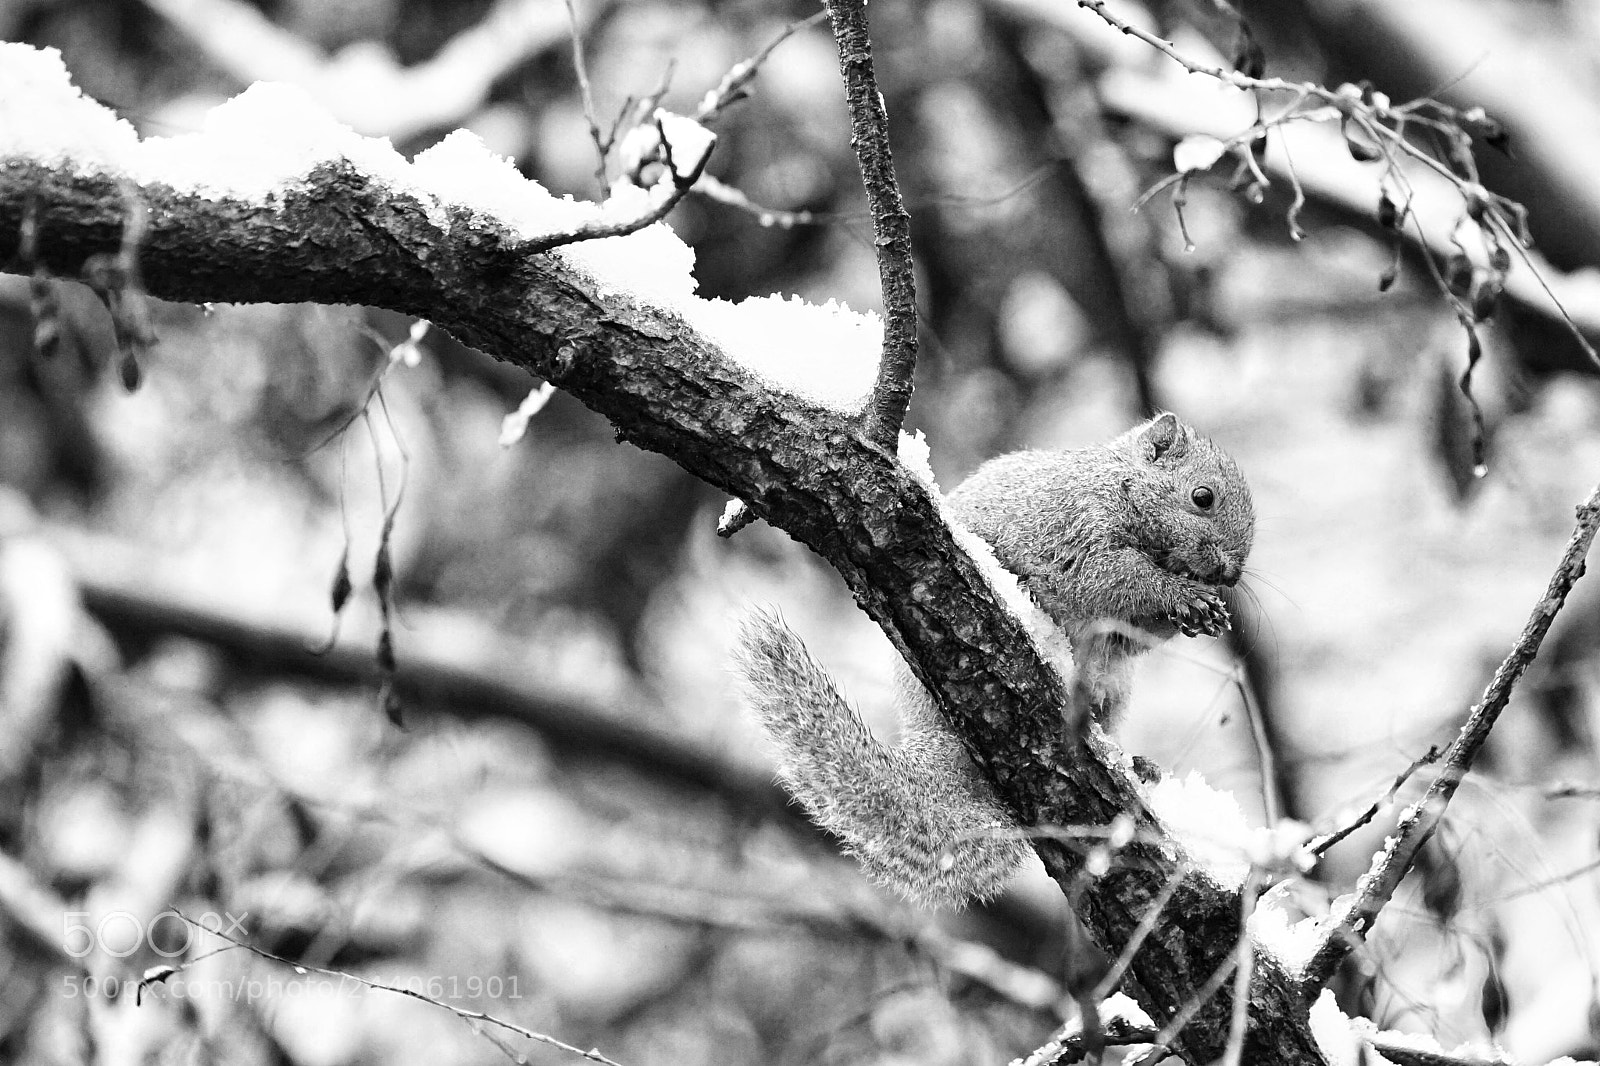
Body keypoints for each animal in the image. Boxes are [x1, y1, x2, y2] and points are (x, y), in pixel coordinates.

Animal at [734, 413, 1255, 908]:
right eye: (1202, 497)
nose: (1228, 573)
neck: (1116, 482)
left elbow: (1132, 633)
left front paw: (1200, 614)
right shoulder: (1077, 527)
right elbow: (1110, 579)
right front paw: (1186, 596)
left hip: (1117, 688)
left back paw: (1137, 765)